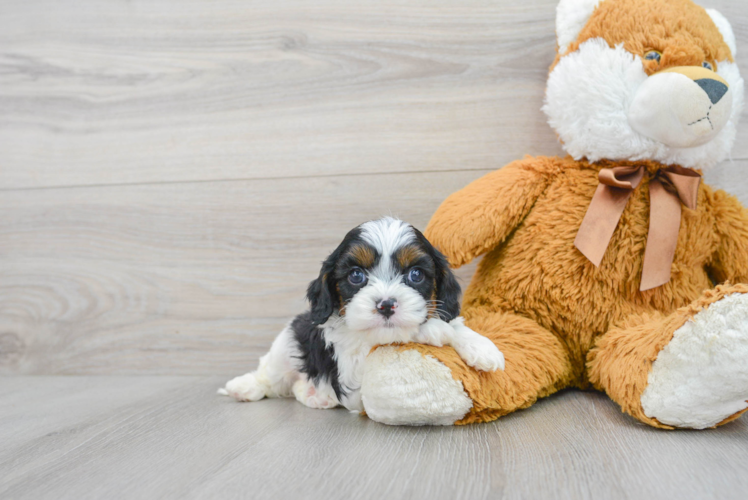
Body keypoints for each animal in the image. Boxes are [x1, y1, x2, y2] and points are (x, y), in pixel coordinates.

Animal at [219, 217, 506, 412]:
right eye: (356, 275)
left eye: (416, 274)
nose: (386, 305)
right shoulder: (351, 368)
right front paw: (433, 329)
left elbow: (455, 323)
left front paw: (483, 348)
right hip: (289, 340)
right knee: (270, 374)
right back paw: (243, 387)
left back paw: (315, 394)